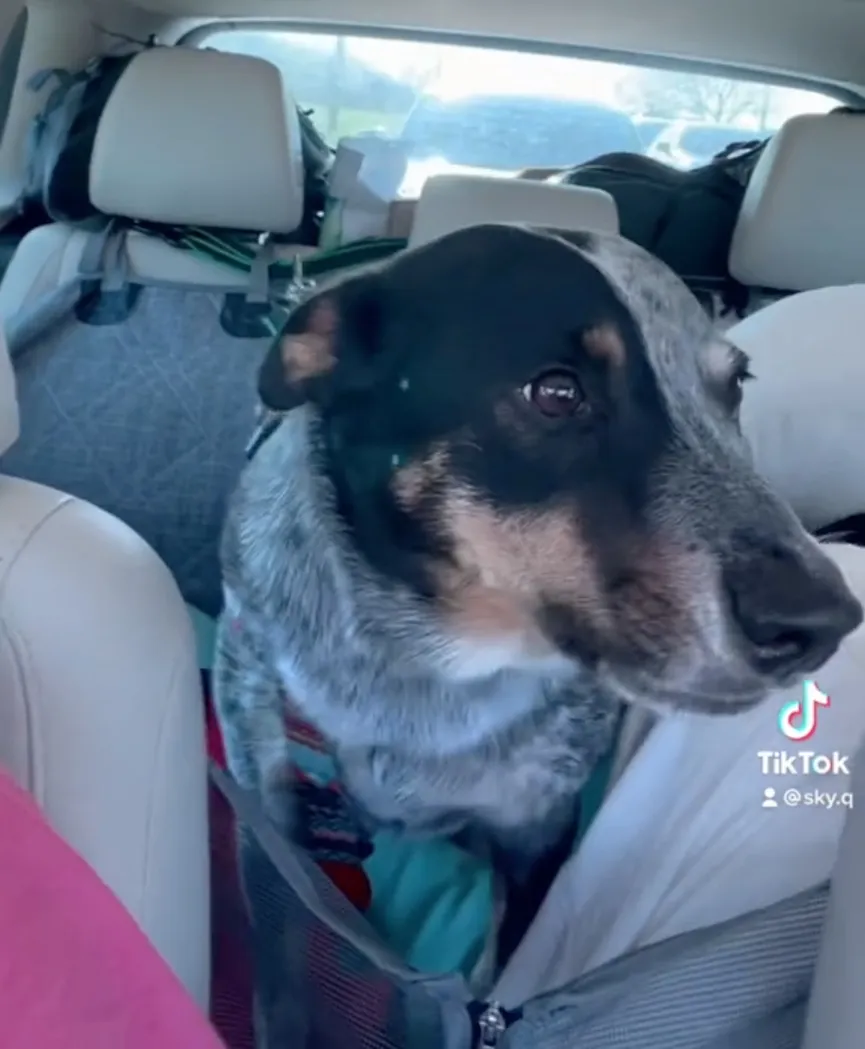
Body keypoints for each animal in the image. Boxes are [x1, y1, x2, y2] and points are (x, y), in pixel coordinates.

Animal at [212, 225, 859, 956]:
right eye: (555, 393)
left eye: (734, 388)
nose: (823, 621)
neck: (428, 673)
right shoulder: (271, 804)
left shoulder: (535, 829)